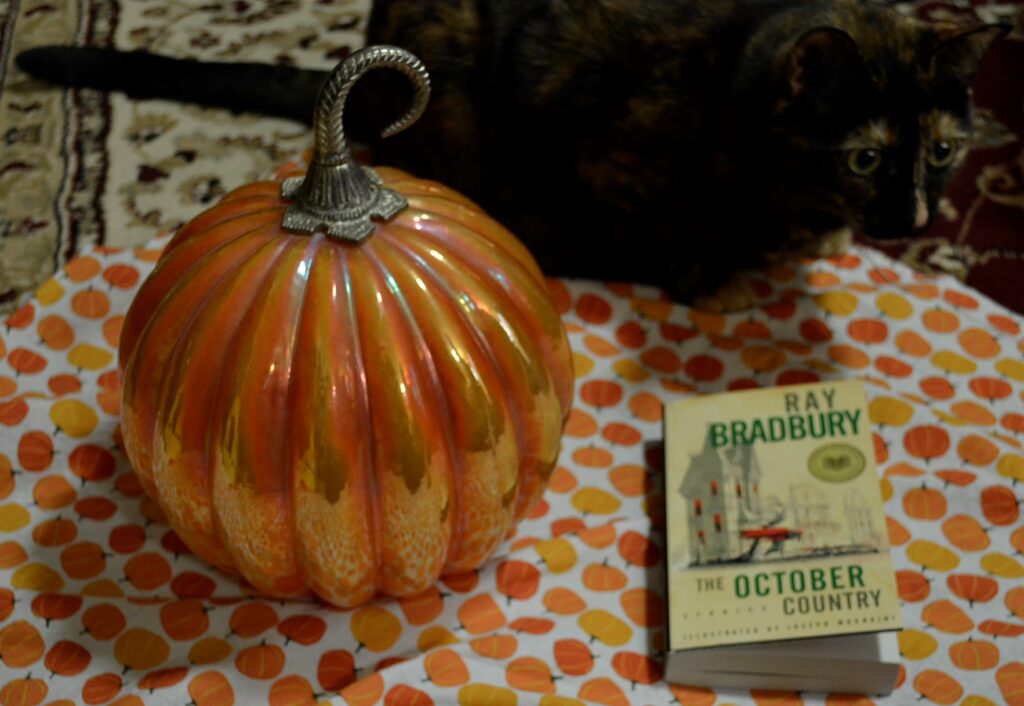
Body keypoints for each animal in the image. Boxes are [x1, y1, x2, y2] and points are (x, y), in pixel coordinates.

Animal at [19, 0, 1003, 307]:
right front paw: (712, 275)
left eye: (944, 149)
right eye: (865, 159)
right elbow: (663, 235)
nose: (911, 218)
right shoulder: (601, 150)